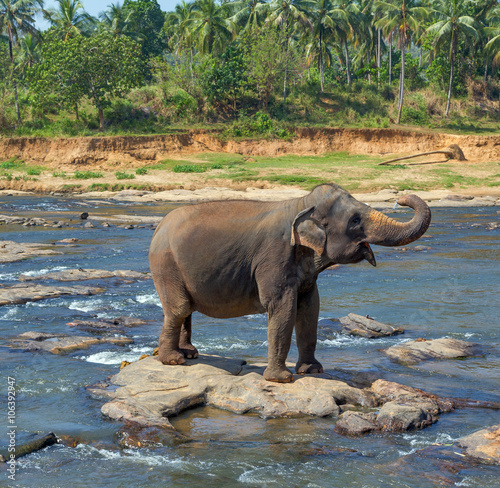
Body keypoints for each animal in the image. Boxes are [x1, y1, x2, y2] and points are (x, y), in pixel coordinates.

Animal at [148, 182, 430, 382]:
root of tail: (159, 226)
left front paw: (313, 371)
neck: (301, 203)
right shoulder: (275, 257)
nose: (400, 198)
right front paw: (281, 379)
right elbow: (282, 306)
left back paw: (190, 354)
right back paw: (173, 361)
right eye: (355, 220)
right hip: (165, 265)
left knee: (186, 309)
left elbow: (310, 307)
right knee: (179, 308)